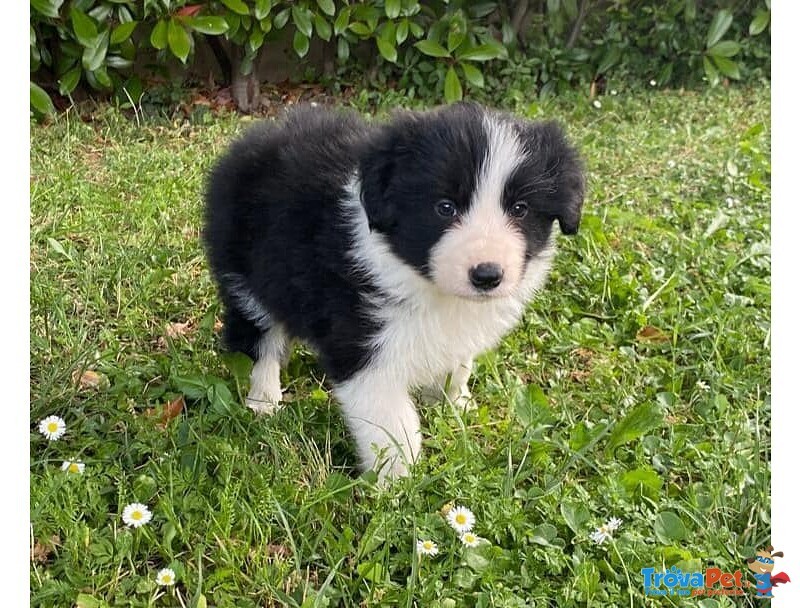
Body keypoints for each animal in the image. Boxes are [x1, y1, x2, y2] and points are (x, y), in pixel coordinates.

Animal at [203, 102, 584, 478]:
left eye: (520, 209)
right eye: (445, 207)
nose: (487, 275)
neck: (421, 280)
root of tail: (254, 138)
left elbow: (457, 363)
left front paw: (455, 402)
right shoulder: (362, 340)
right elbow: (391, 421)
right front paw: (400, 481)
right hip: (246, 273)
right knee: (257, 336)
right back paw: (264, 399)